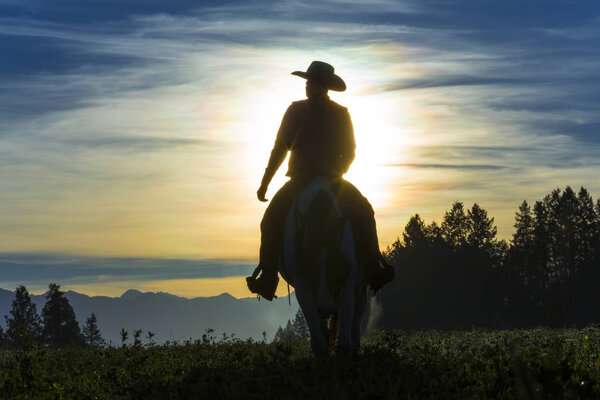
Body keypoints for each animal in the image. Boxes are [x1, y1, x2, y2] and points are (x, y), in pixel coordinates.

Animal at [278, 177, 370, 354]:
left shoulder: (346, 281)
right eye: (307, 262)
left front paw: (345, 348)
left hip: (360, 283)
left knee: (358, 314)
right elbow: (312, 318)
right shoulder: (302, 285)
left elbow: (347, 313)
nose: (326, 308)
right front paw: (321, 349)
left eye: (337, 261)